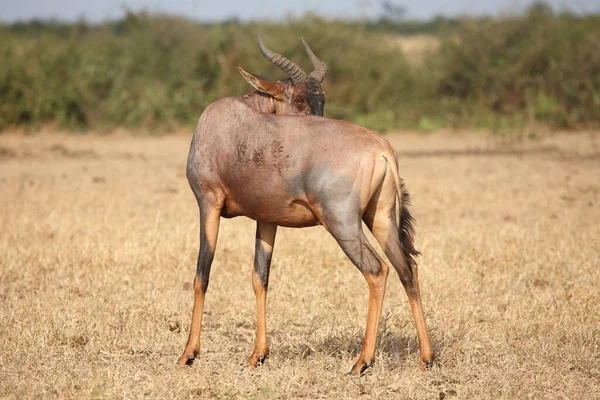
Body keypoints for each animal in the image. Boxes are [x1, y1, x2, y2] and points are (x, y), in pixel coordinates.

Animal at [176, 37, 434, 376]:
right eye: (300, 100)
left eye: (320, 102)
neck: (227, 122)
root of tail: (382, 150)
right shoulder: (266, 218)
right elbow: (260, 278)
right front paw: (257, 355)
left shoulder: (208, 203)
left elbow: (201, 275)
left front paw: (188, 354)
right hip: (381, 218)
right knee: (408, 268)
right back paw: (426, 358)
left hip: (342, 222)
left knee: (377, 270)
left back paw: (361, 362)